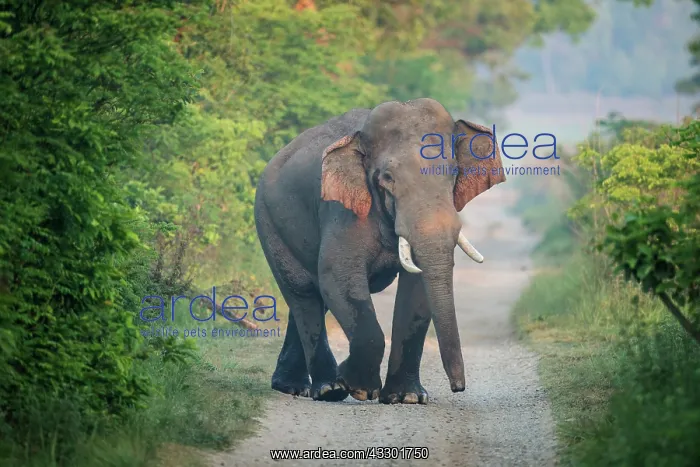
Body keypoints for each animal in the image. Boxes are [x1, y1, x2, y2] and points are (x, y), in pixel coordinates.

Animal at [253, 98, 506, 404]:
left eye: (453, 173)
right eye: (387, 178)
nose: (458, 387)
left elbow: (417, 290)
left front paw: (407, 398)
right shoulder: (341, 210)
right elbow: (338, 279)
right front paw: (358, 386)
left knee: (313, 297)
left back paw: (294, 386)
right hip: (268, 221)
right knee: (303, 293)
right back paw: (329, 389)